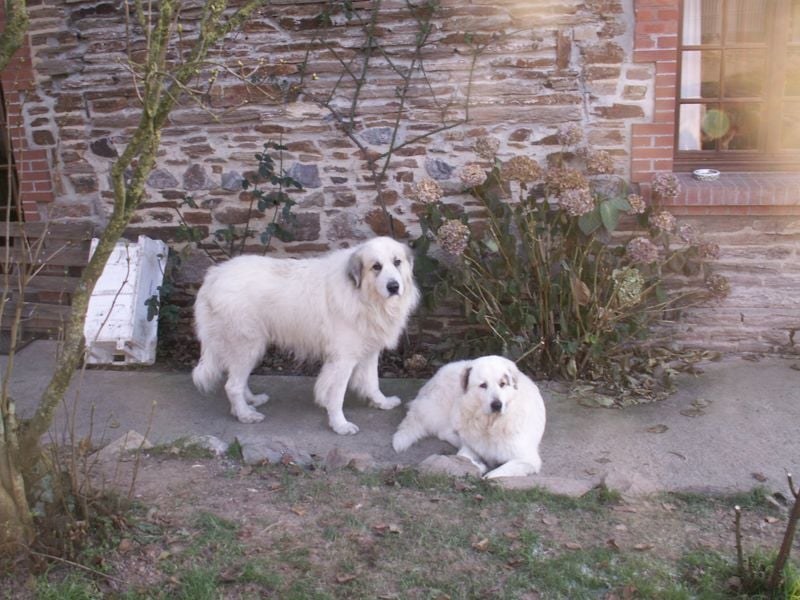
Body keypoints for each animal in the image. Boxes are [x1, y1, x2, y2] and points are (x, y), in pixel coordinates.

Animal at [192, 236, 420, 434]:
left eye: (397, 262)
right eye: (376, 267)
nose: (394, 286)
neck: (364, 296)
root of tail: (215, 274)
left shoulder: (368, 351)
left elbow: (373, 383)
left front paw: (382, 403)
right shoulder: (343, 359)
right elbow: (337, 396)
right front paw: (340, 425)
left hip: (250, 347)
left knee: (238, 380)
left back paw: (252, 401)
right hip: (247, 344)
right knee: (232, 386)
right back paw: (245, 414)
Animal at [392, 355, 546, 478]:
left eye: (503, 384)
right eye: (483, 385)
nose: (497, 405)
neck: (490, 424)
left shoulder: (528, 459)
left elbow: (493, 474)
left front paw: (486, 473)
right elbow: (463, 456)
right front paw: (479, 465)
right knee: (444, 432)